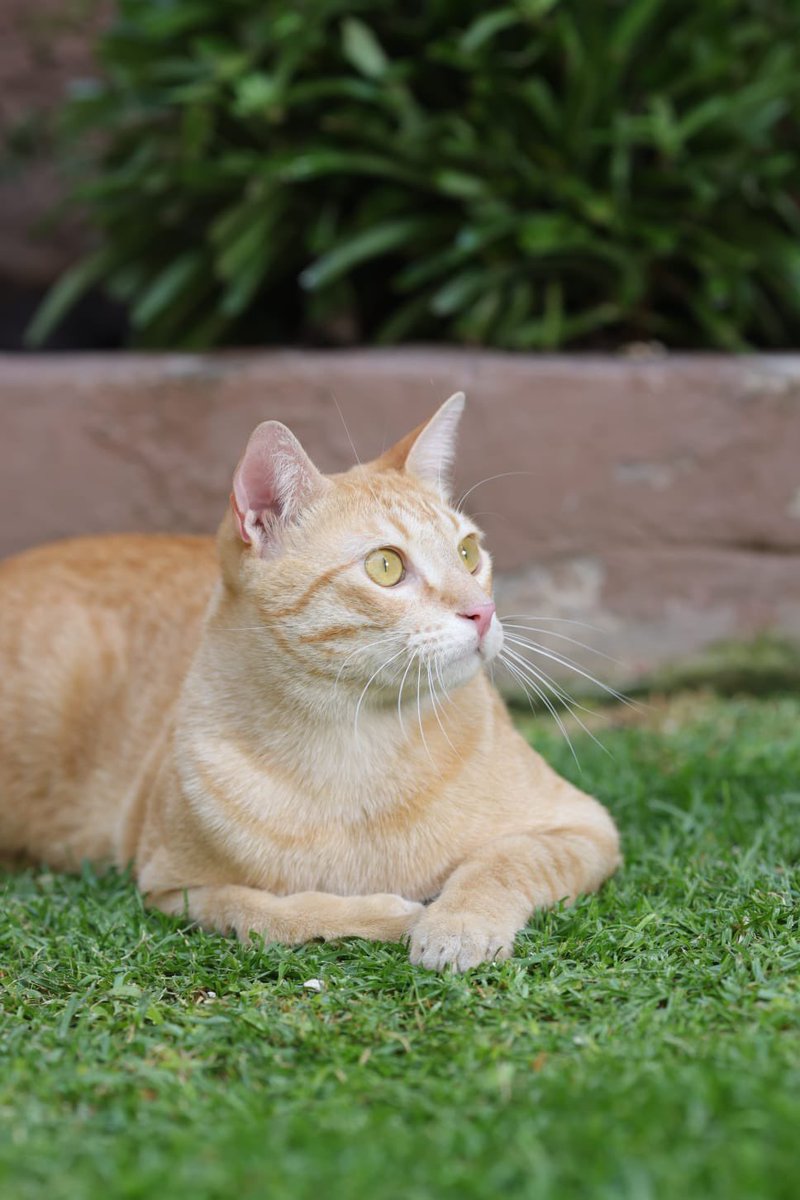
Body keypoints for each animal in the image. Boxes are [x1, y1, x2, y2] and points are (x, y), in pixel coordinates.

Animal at [0, 396, 618, 974]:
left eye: (468, 553)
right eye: (386, 566)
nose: (483, 613)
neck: (354, 747)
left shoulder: (586, 829)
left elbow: (502, 862)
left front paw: (457, 924)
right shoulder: (170, 889)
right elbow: (266, 911)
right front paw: (388, 913)